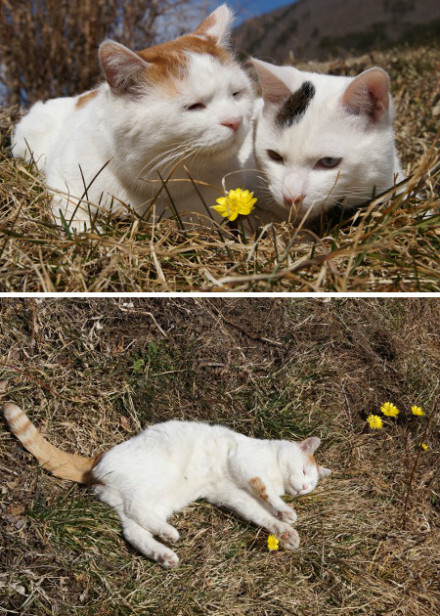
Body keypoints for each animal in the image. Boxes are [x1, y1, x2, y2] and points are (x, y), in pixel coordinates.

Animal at [5, 402, 332, 572]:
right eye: (304, 471)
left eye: (311, 484)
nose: (304, 487)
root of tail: (96, 459)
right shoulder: (243, 463)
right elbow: (266, 493)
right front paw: (287, 512)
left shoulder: (232, 495)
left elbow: (259, 513)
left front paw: (286, 533)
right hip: (156, 479)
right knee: (135, 510)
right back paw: (169, 534)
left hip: (153, 501)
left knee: (133, 530)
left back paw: (162, 550)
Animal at [11, 5, 254, 231]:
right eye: (194, 106)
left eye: (236, 93)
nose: (235, 120)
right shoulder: (62, 179)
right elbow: (72, 213)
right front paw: (86, 231)